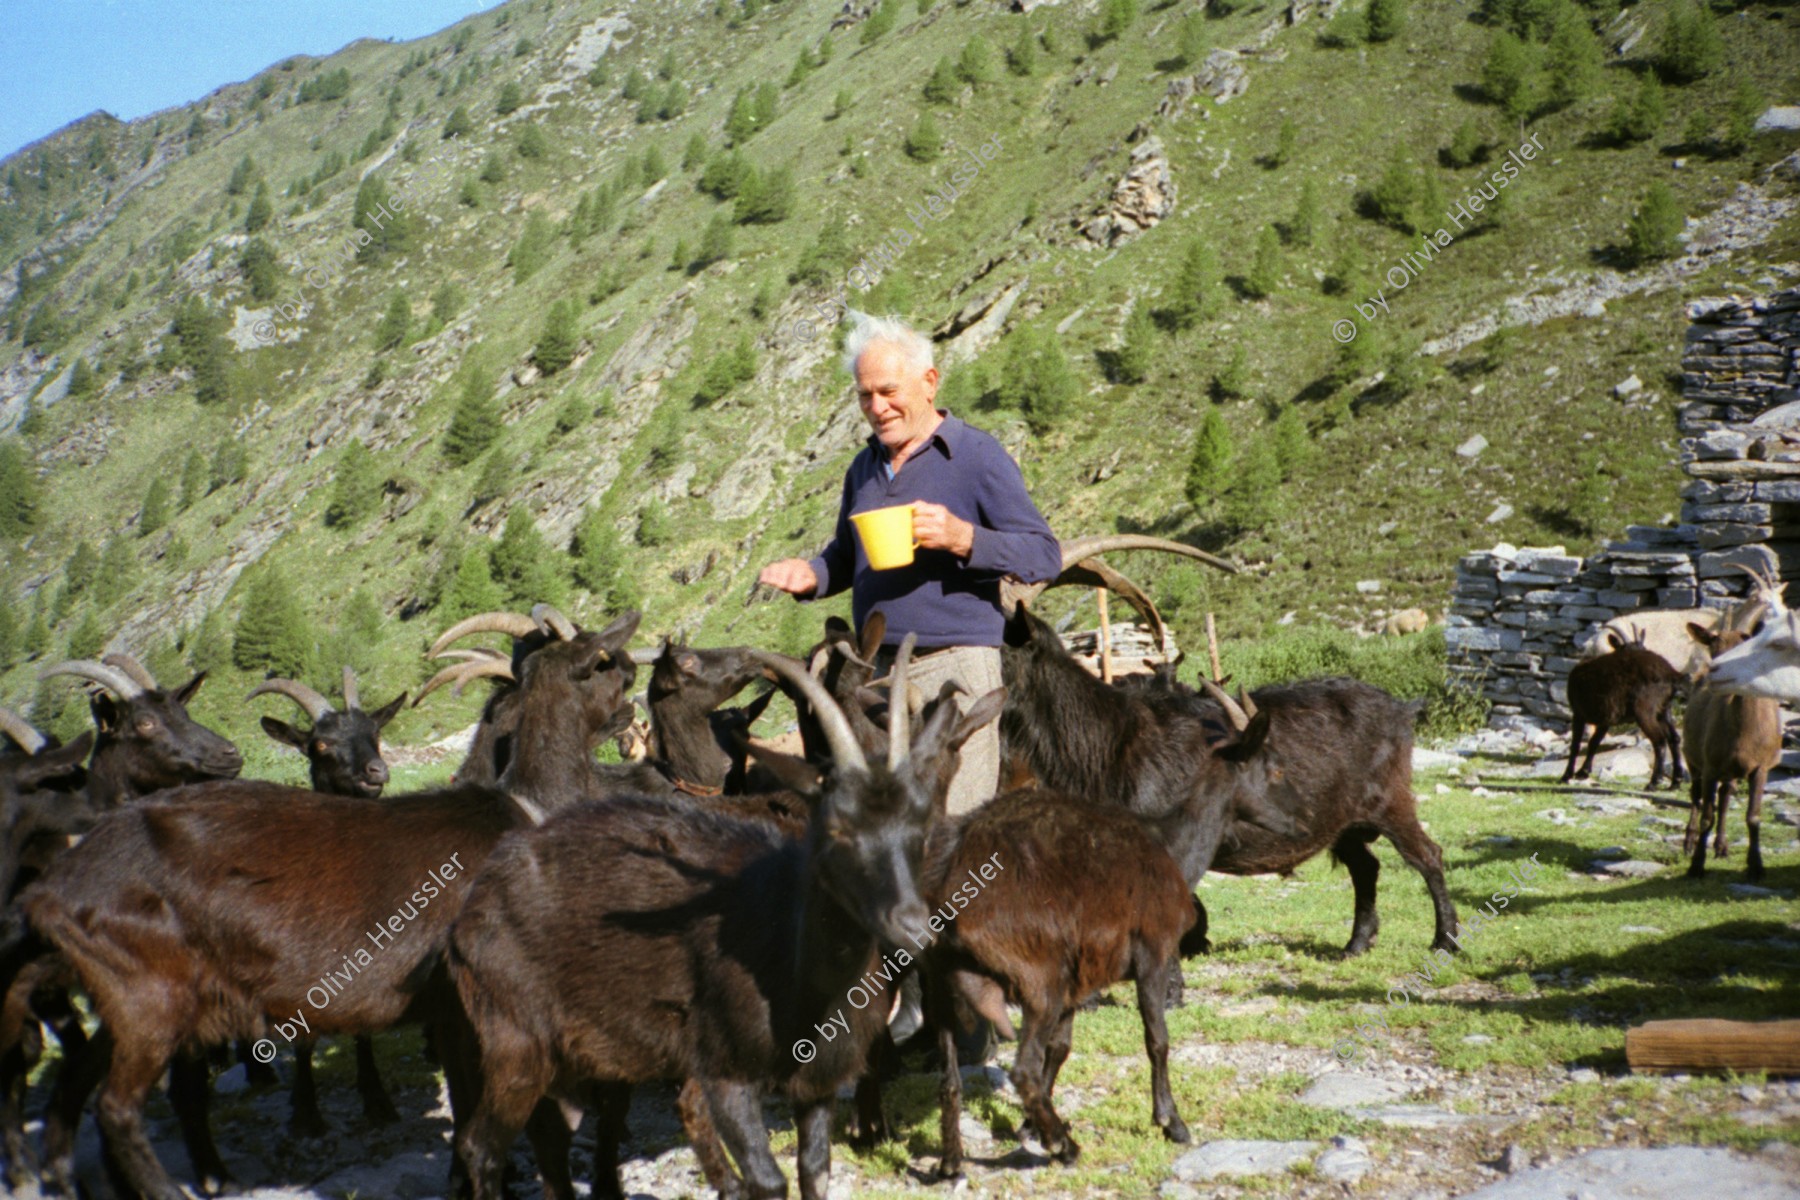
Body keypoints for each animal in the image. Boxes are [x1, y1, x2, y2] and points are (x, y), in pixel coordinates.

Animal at [444, 636, 993, 1200]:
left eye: (918, 821)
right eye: (837, 828)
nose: (915, 927)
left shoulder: (814, 1082)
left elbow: (814, 1169)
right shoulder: (727, 1072)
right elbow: (768, 1178)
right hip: (517, 1043)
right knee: (484, 1143)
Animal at [1562, 626, 1684, 791]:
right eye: (1626, 648)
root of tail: (1671, 674)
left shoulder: (1578, 713)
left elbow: (1575, 745)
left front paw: (1567, 775)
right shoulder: (1606, 718)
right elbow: (1594, 742)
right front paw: (1583, 772)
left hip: (1645, 710)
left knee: (1659, 740)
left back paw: (1653, 782)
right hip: (1664, 710)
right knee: (1674, 738)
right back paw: (1675, 782)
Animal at [1677, 629, 1778, 881]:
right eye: (1714, 650)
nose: (1715, 675)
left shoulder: (1761, 766)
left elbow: (1753, 817)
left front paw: (1756, 866)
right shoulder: (1710, 765)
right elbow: (1707, 816)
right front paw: (1696, 865)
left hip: (1728, 770)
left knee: (1724, 796)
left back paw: (1721, 846)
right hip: (1692, 756)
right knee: (1696, 795)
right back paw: (1689, 841)